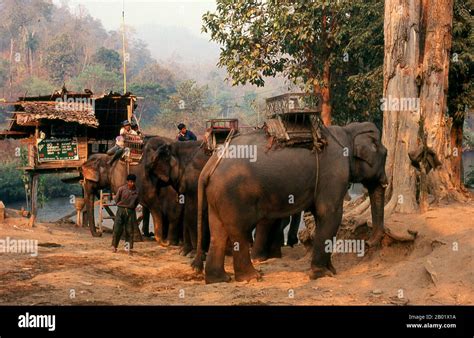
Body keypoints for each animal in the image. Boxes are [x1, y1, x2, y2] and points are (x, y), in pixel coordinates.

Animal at [193, 121, 388, 282]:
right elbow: (330, 213)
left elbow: (321, 216)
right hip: (234, 195)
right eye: (385, 154)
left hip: (217, 195)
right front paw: (321, 275)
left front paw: (331, 271)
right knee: (239, 230)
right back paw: (252, 277)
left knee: (218, 231)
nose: (368, 243)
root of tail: (209, 166)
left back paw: (220, 279)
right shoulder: (334, 172)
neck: (348, 131)